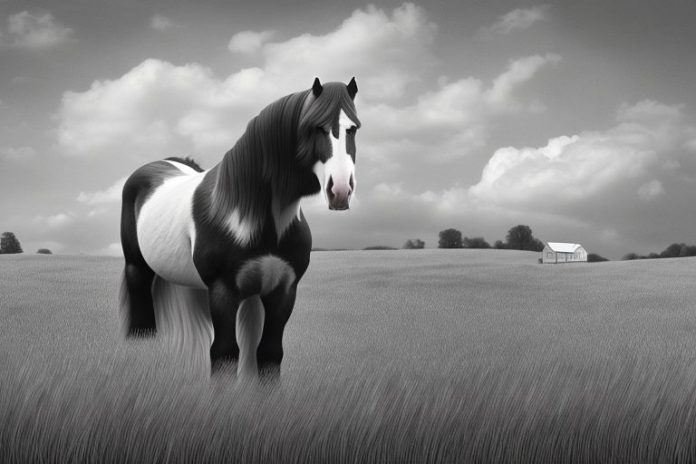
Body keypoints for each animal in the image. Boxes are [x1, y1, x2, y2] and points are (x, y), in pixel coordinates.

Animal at [119, 77, 360, 380]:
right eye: (315, 127)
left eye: (353, 128)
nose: (340, 191)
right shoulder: (223, 291)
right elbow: (224, 354)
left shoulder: (283, 291)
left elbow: (270, 354)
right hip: (136, 265)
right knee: (140, 305)